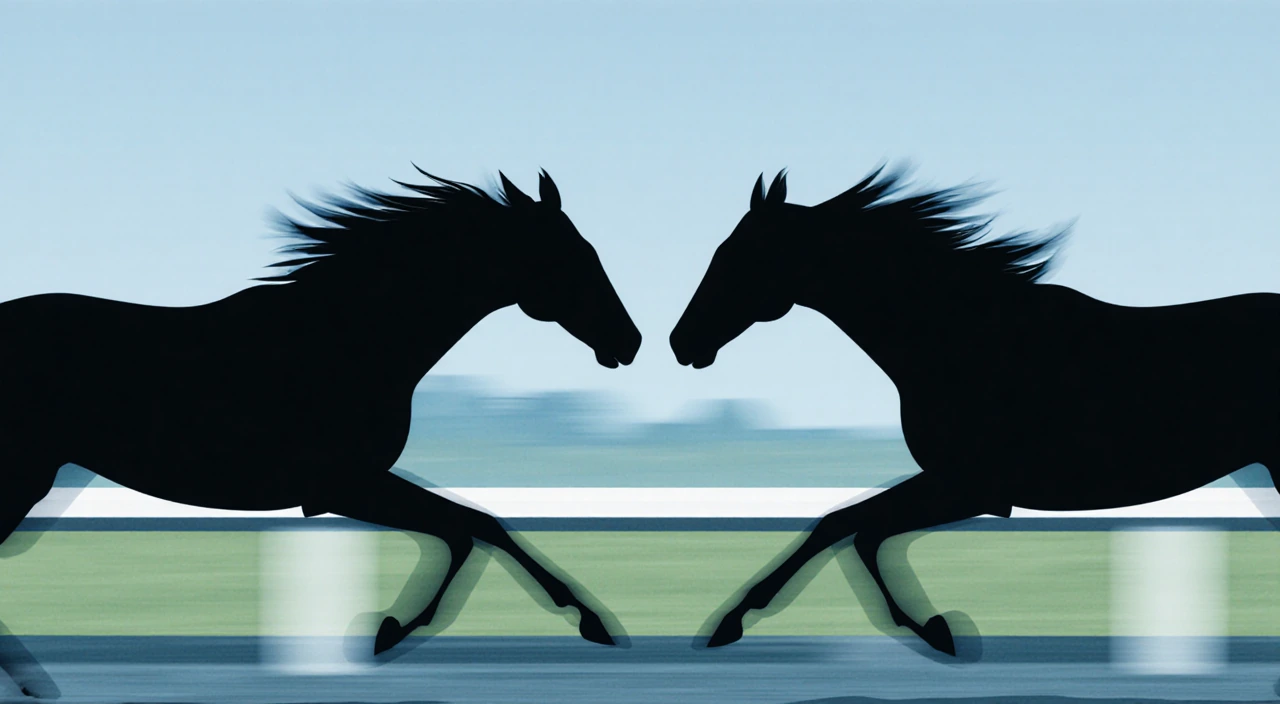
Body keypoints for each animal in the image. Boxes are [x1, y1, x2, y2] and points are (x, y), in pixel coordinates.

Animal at [0, 167, 641, 678]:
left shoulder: (351, 485)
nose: (630, 341)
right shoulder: (342, 485)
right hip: (22, 480)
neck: (347, 340)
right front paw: (391, 630)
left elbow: (480, 526)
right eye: (574, 258)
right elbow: (470, 528)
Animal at [669, 164, 1280, 656]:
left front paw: (936, 629)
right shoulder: (956, 483)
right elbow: (841, 526)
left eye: (737, 257)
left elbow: (852, 529)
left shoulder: (971, 486)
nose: (681, 342)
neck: (965, 338)